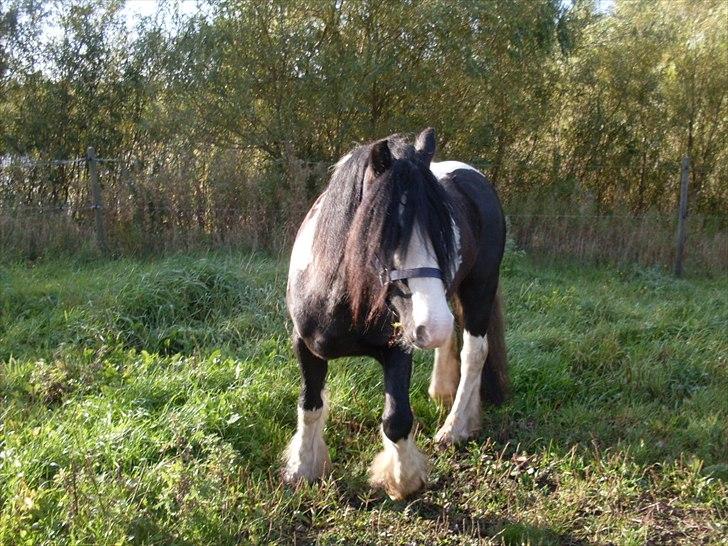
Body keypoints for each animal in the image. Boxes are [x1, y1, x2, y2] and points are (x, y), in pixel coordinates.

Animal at [282, 126, 506, 498]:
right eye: (386, 231)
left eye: (444, 230)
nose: (432, 326)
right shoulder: (306, 344)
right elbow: (309, 403)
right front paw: (303, 468)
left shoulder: (398, 350)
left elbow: (397, 419)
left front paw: (403, 480)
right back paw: (443, 391)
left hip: (478, 289)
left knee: (474, 352)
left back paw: (455, 427)